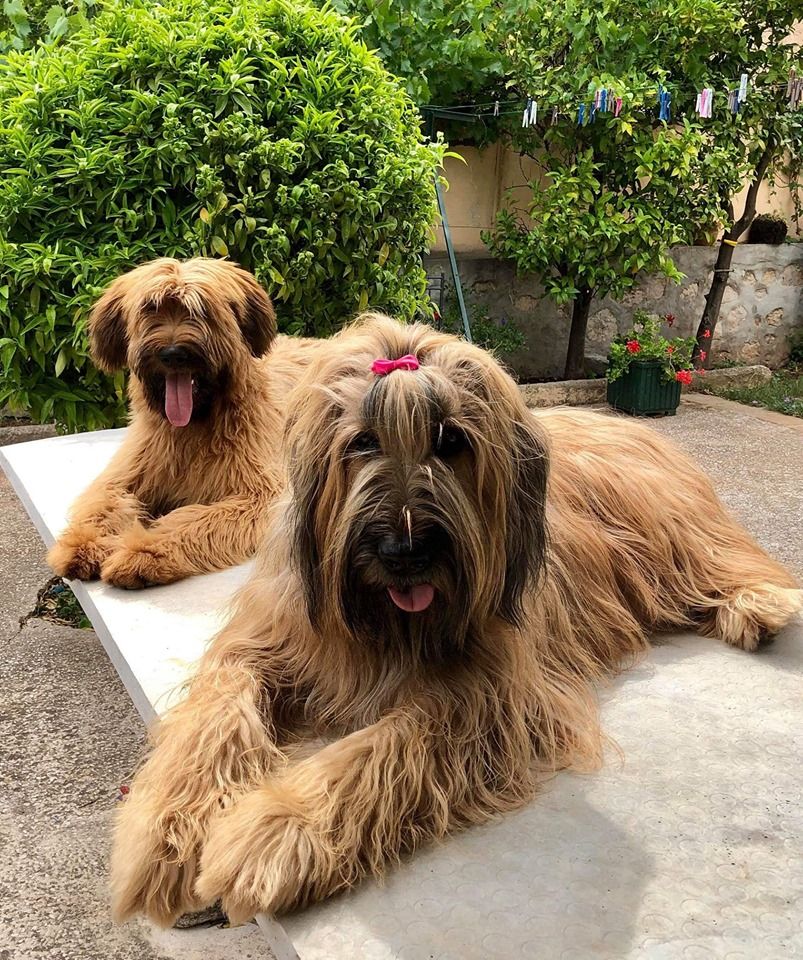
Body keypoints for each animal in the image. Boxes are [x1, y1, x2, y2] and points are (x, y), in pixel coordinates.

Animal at [47, 260, 322, 592]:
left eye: (202, 310)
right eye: (150, 309)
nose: (173, 354)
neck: (191, 429)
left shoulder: (259, 494)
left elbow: (194, 520)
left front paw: (145, 551)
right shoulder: (128, 471)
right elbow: (103, 503)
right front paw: (82, 544)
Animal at [110, 314, 800, 924]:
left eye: (450, 442)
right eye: (363, 441)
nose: (404, 552)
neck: (387, 623)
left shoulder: (485, 691)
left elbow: (382, 744)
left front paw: (276, 832)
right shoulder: (267, 639)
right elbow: (218, 709)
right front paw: (165, 834)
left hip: (664, 529)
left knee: (726, 563)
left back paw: (759, 605)